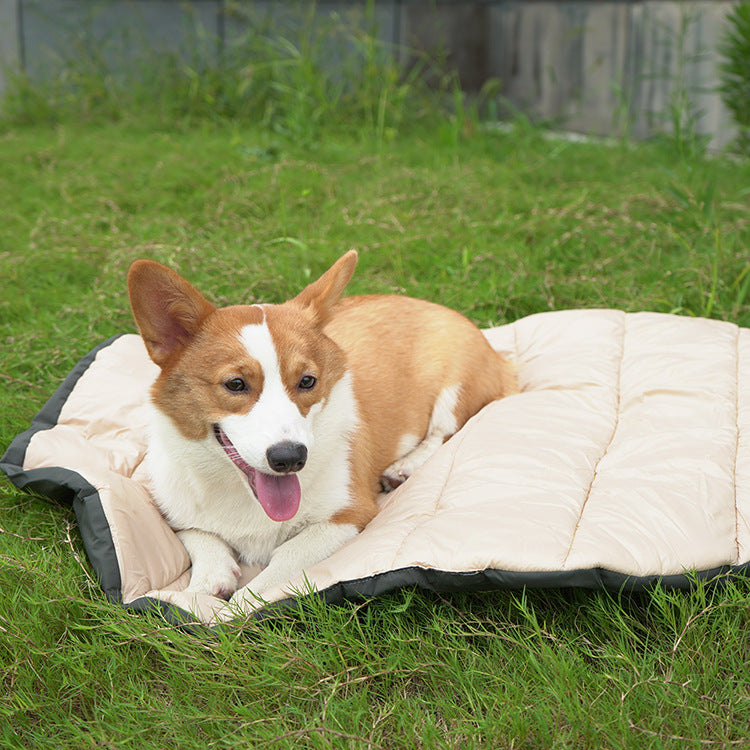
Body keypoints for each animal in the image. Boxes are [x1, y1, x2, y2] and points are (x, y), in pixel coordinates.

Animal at [128, 253, 516, 612]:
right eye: (235, 384)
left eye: (307, 381)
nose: (290, 458)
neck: (243, 495)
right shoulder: (176, 513)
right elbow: (201, 536)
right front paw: (204, 584)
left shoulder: (348, 516)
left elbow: (282, 560)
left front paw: (237, 606)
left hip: (456, 386)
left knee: (443, 433)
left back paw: (404, 467)